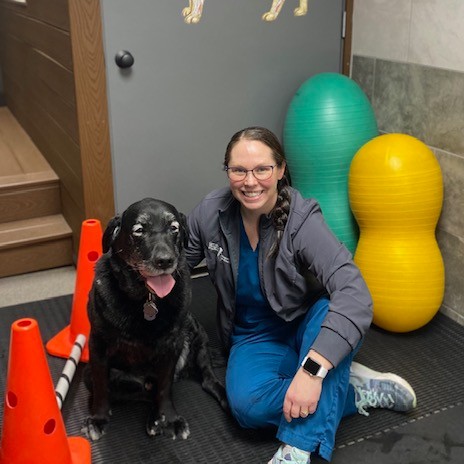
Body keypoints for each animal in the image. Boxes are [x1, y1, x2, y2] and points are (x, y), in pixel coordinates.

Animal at [84, 197, 230, 442]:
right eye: (139, 230)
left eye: (174, 228)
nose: (165, 261)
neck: (147, 298)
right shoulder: (97, 344)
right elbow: (102, 385)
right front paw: (98, 418)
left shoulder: (171, 346)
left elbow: (164, 387)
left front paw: (169, 418)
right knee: (142, 389)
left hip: (198, 337)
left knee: (205, 379)